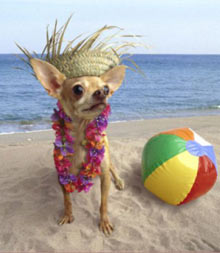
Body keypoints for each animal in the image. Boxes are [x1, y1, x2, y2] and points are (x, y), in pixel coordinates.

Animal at [30, 57, 125, 235]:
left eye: (106, 88)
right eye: (78, 89)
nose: (102, 92)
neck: (82, 136)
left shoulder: (104, 177)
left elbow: (103, 203)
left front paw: (104, 221)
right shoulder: (63, 176)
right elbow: (67, 200)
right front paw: (67, 215)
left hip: (107, 156)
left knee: (113, 167)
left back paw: (119, 180)